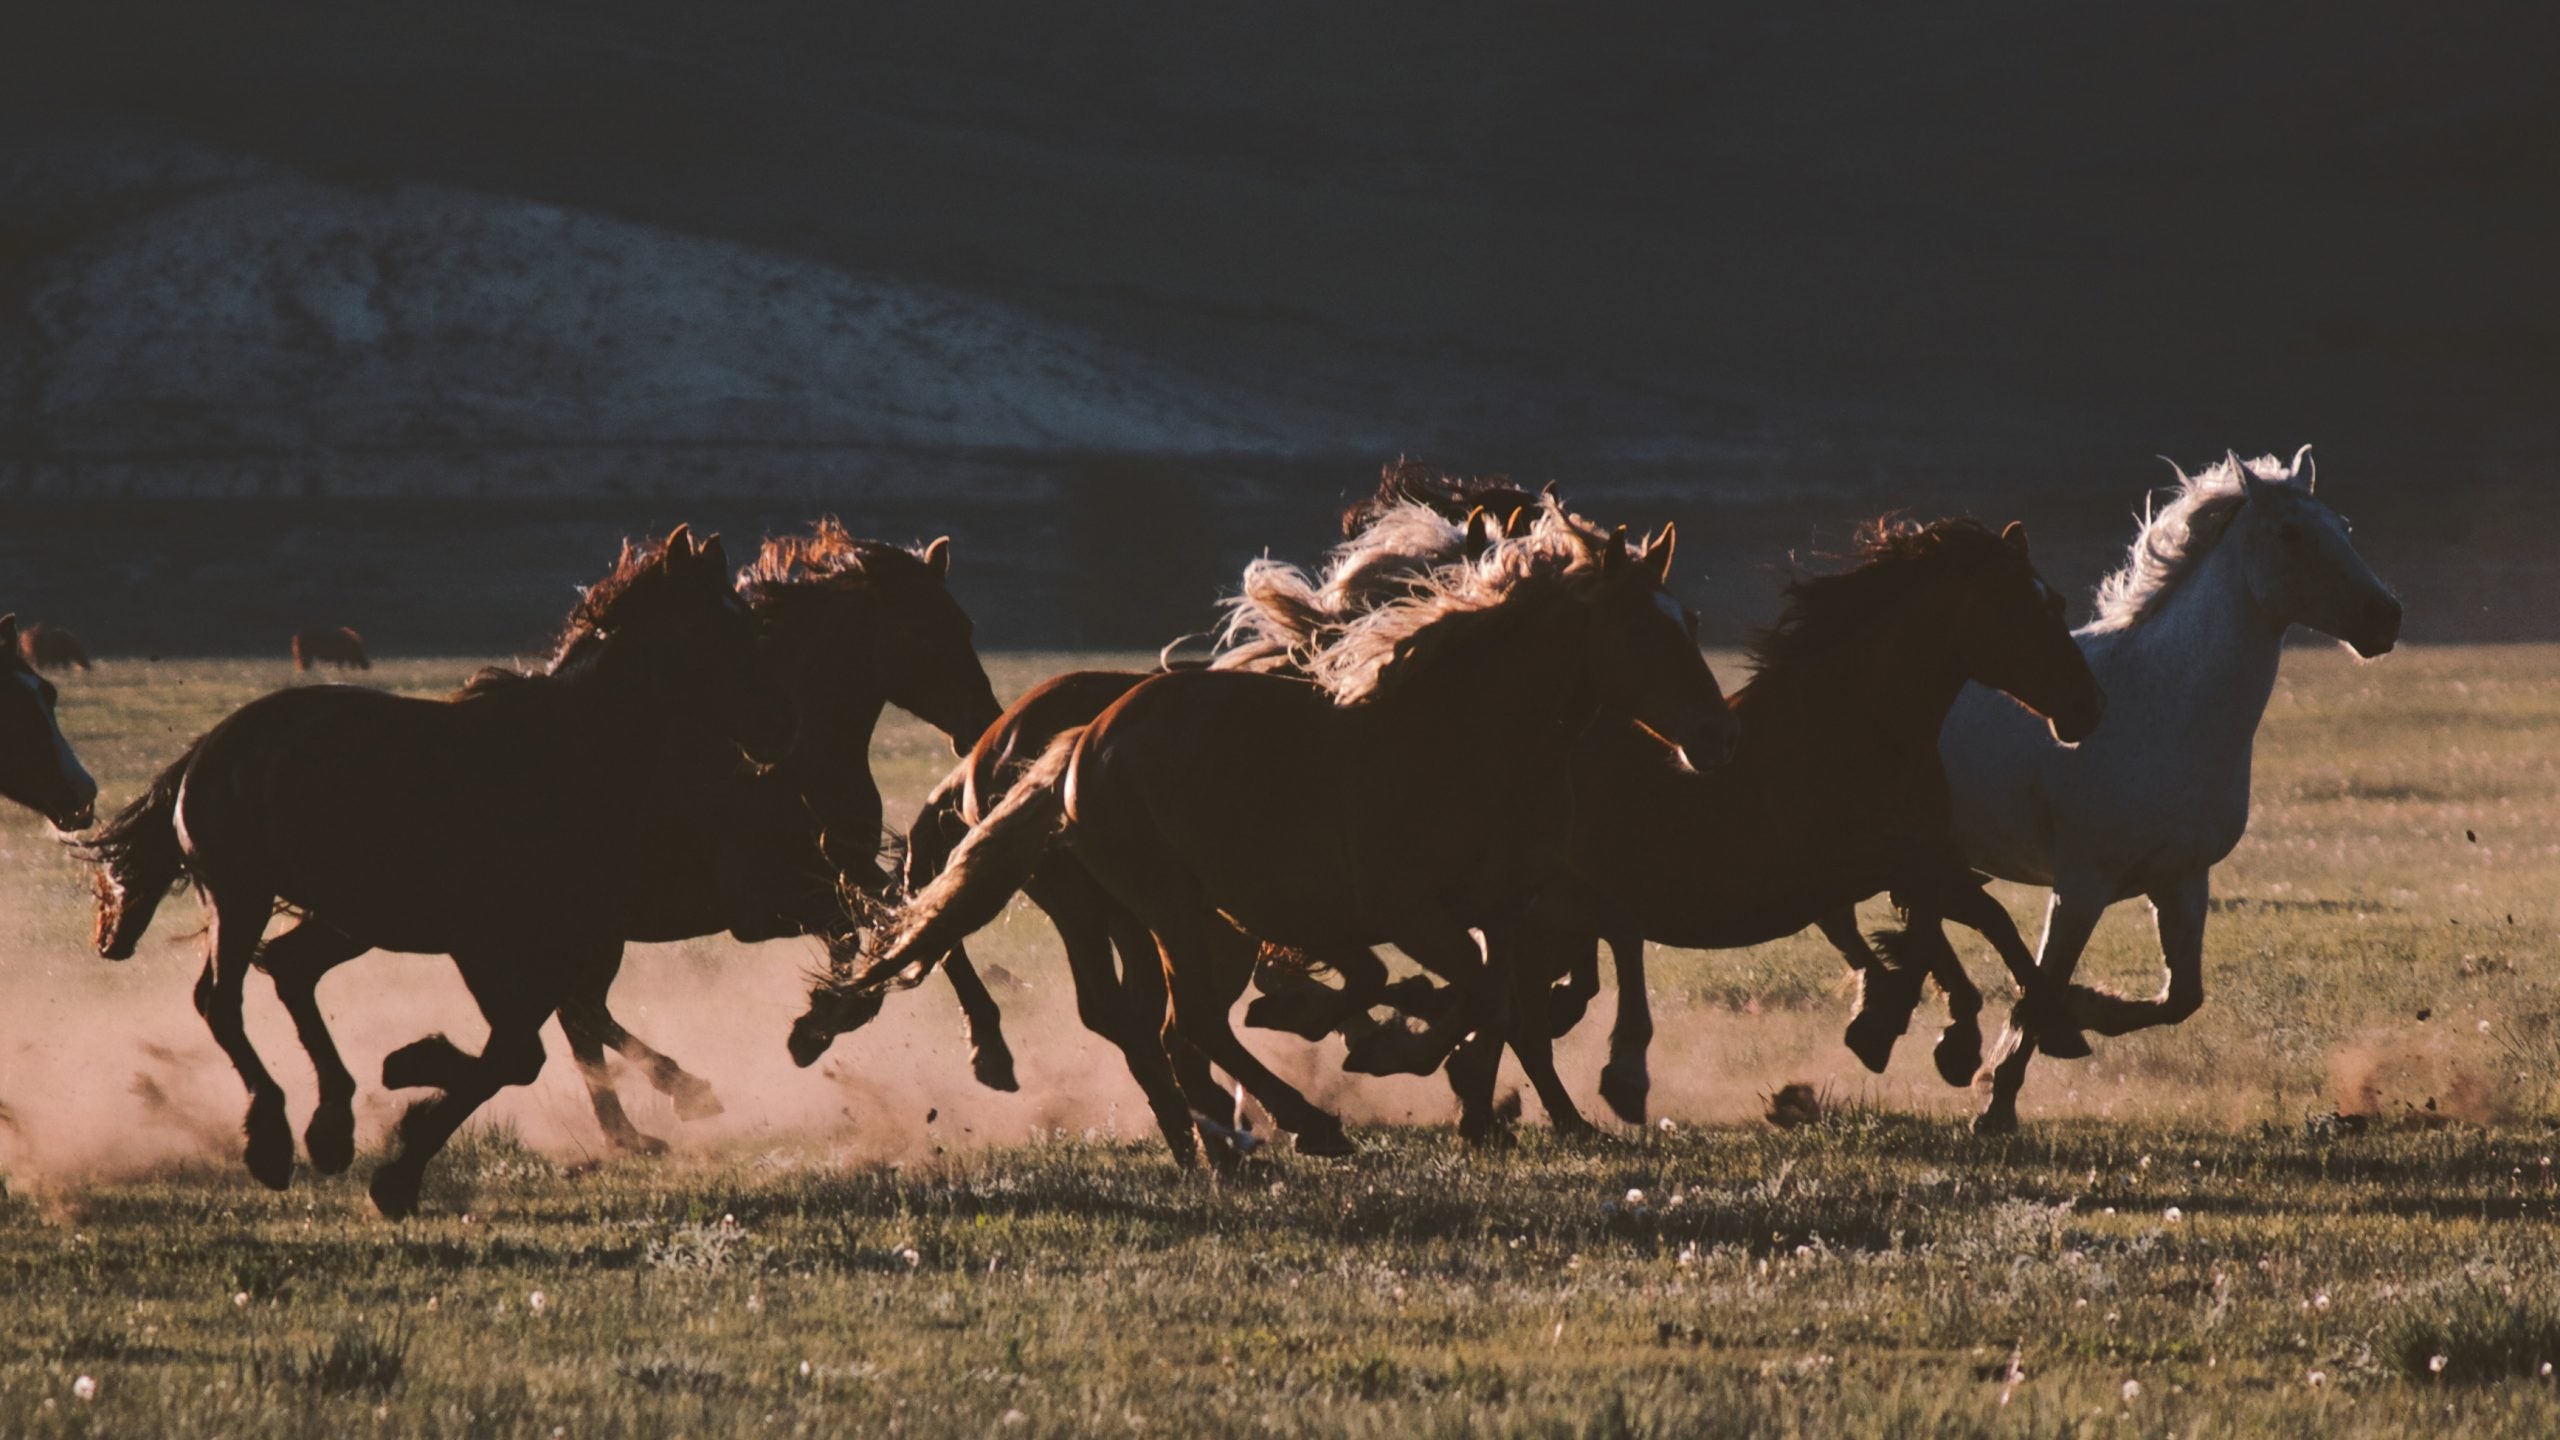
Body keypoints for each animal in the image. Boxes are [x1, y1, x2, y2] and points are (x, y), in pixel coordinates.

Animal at [109, 523, 1000, 1169]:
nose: (980, 725)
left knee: (296, 970)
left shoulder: (832, 874)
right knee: (226, 996)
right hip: (250, 896)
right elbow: (890, 939)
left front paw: (969, 1045)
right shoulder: (765, 899)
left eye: (966, 623)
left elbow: (921, 926)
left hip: (361, 915)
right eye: (923, 626)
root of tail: (210, 748)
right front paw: (833, 1026)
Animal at [801, 503, 1737, 1160]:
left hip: (1194, 923)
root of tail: (1071, 744)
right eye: (1640, 627)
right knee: (1175, 1026)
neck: (1463, 736)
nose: (1716, 736)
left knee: (1170, 1027)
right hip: (1165, 911)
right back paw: (1287, 1127)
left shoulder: (1506, 910)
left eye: (1691, 621)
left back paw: (1233, 1138)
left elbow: (1508, 1002)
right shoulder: (1413, 913)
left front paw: (1497, 1097)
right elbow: (1475, 997)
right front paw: (1388, 1052)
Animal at [1832, 449, 2399, 1133]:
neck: (2163, 704)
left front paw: (2076, 1013)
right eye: (2291, 533)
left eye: (2342, 527)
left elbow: (2180, 998)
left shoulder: (2181, 880)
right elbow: (2045, 979)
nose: (2384, 618)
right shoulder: (2081, 885)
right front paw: (2000, 1098)